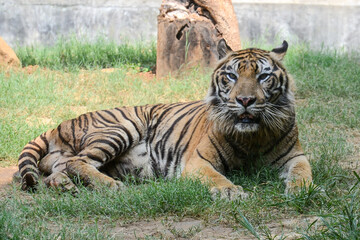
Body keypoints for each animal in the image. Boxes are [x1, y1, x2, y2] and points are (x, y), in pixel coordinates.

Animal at [18, 40, 312, 200]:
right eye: (232, 76)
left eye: (264, 76)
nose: (246, 100)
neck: (252, 137)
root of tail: (61, 124)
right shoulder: (198, 162)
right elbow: (217, 178)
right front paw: (231, 192)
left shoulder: (295, 156)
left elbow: (303, 172)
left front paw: (302, 190)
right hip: (121, 128)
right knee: (77, 161)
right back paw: (111, 185)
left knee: (58, 170)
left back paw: (66, 186)